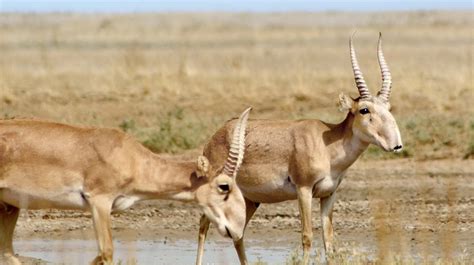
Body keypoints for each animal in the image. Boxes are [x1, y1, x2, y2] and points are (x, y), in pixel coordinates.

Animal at [0, 106, 252, 262]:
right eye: (224, 186)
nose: (236, 230)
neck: (128, 155)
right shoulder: (99, 202)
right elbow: (106, 253)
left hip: (10, 207)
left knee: (8, 253)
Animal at [194, 33, 402, 264]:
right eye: (364, 110)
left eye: (388, 108)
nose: (396, 144)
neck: (327, 143)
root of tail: (214, 137)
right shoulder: (304, 190)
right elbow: (307, 236)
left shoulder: (329, 194)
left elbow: (329, 239)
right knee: (203, 226)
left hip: (249, 200)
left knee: (238, 234)